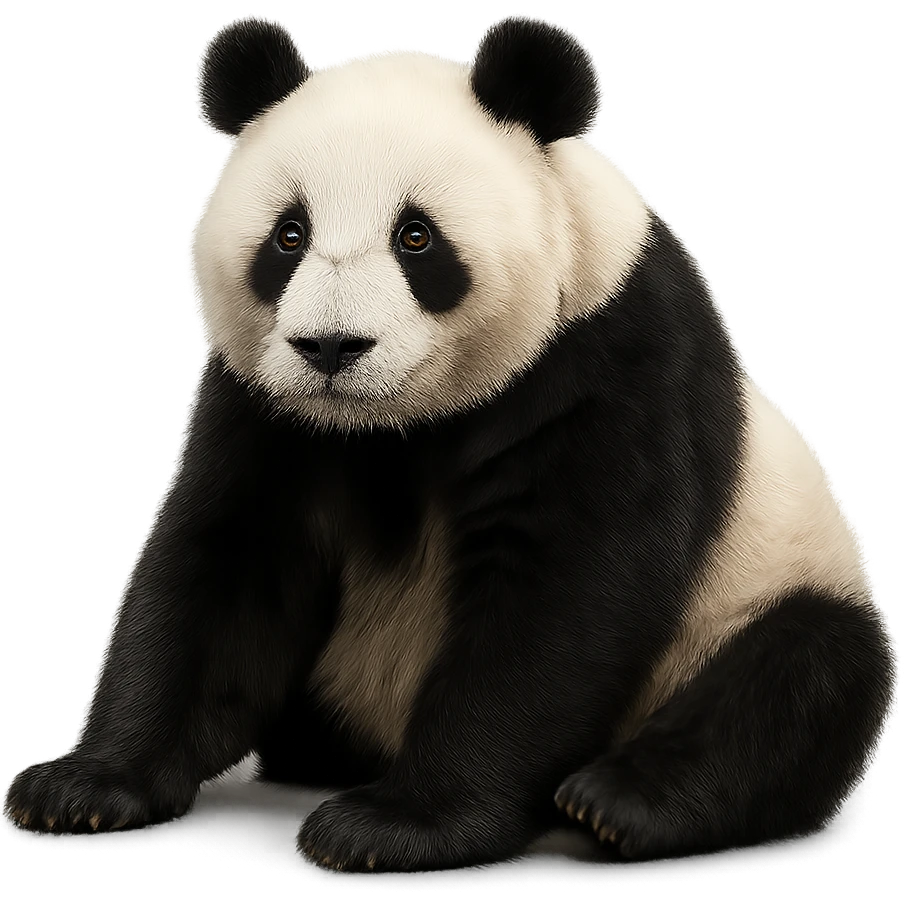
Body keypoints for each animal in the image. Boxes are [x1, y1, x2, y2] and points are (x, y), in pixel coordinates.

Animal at [4, 16, 894, 875]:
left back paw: (617, 801)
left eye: (417, 237)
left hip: (767, 588)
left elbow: (562, 594)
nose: (331, 347)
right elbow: (228, 565)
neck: (394, 422)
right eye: (289, 235)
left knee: (800, 679)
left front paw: (397, 827)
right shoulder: (266, 401)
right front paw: (84, 787)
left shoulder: (611, 357)